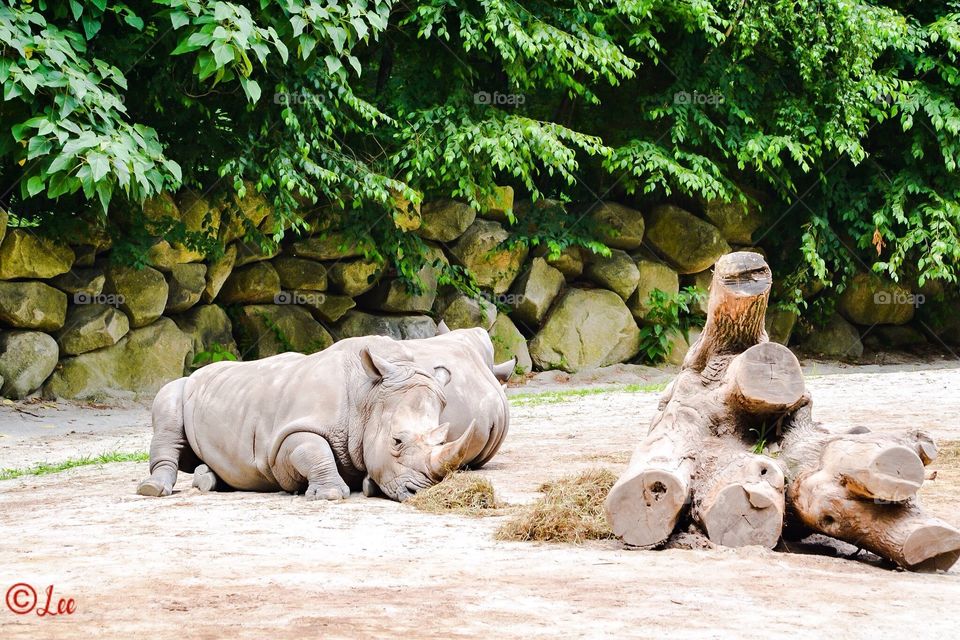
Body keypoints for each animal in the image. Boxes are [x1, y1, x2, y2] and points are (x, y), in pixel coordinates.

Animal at [136, 345, 484, 502]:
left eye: (444, 439)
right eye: (396, 442)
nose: (419, 492)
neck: (368, 397)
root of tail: (198, 371)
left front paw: (368, 485)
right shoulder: (288, 434)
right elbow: (313, 449)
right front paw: (330, 495)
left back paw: (208, 480)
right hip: (179, 387)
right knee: (168, 411)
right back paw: (153, 490)